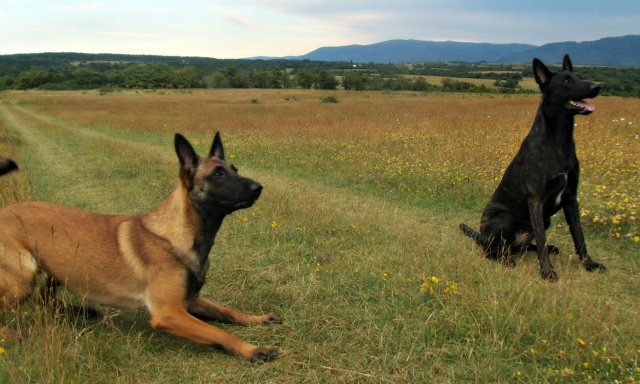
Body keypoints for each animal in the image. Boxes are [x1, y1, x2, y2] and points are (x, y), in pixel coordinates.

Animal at [0, 132, 280, 360]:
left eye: (235, 169)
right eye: (218, 174)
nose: (259, 187)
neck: (180, 234)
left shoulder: (190, 301)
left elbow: (228, 312)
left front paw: (257, 318)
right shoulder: (169, 312)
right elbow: (218, 332)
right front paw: (253, 350)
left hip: (59, 267)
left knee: (44, 297)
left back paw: (80, 311)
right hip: (23, 279)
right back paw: (13, 334)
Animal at [460, 54, 604, 280]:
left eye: (580, 77)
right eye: (566, 81)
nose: (596, 87)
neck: (558, 141)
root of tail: (482, 237)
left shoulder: (571, 198)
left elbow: (579, 237)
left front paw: (589, 264)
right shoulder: (536, 199)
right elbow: (542, 239)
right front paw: (547, 272)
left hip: (545, 220)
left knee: (522, 246)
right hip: (504, 218)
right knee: (493, 251)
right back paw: (505, 260)